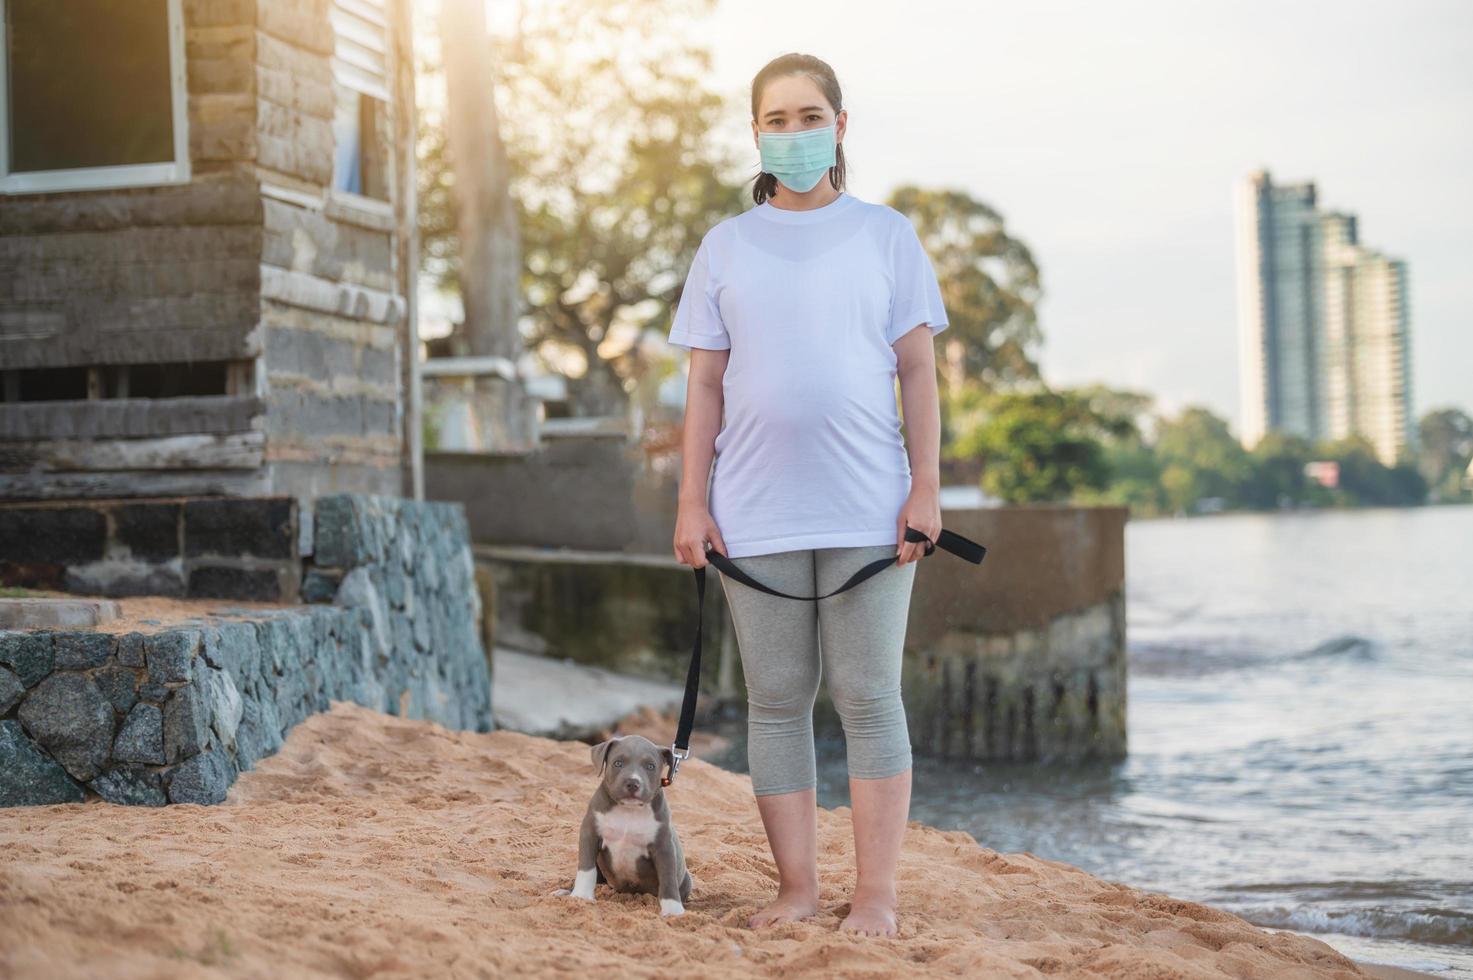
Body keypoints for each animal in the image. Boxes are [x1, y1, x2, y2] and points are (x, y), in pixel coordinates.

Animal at [553, 730, 692, 913]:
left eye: (650, 766)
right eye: (618, 763)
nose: (633, 783)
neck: (628, 810)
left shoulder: (664, 847)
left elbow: (668, 879)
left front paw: (673, 910)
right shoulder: (590, 833)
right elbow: (586, 868)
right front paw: (580, 896)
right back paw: (565, 891)